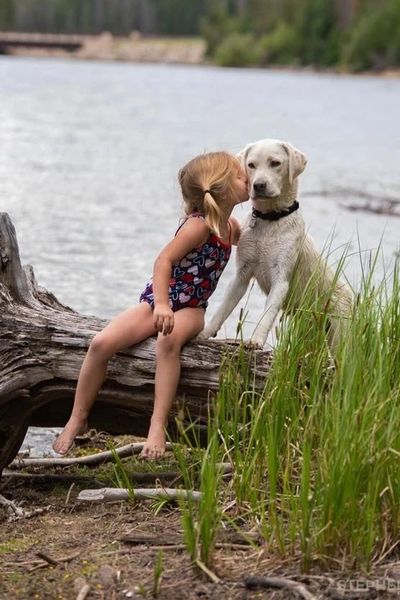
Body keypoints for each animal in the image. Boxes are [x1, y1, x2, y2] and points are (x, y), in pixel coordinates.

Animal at [198, 138, 352, 350]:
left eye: (275, 163)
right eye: (251, 165)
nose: (259, 185)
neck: (270, 220)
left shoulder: (281, 279)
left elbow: (268, 313)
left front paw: (255, 340)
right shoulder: (241, 275)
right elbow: (223, 308)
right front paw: (205, 333)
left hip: (341, 337)